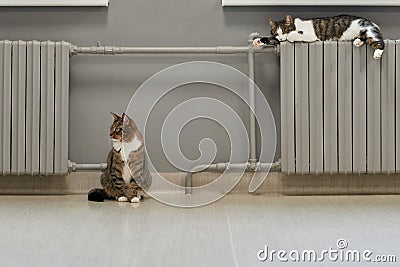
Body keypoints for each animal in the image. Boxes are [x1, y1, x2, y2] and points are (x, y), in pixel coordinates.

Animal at [253, 14, 384, 59]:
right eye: (276, 33)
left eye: (284, 30)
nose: (281, 38)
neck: (297, 25)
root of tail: (372, 23)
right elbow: (270, 39)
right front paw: (257, 41)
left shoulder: (310, 35)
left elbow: (293, 35)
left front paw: (291, 36)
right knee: (364, 38)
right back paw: (357, 41)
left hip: (369, 31)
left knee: (380, 41)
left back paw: (377, 53)